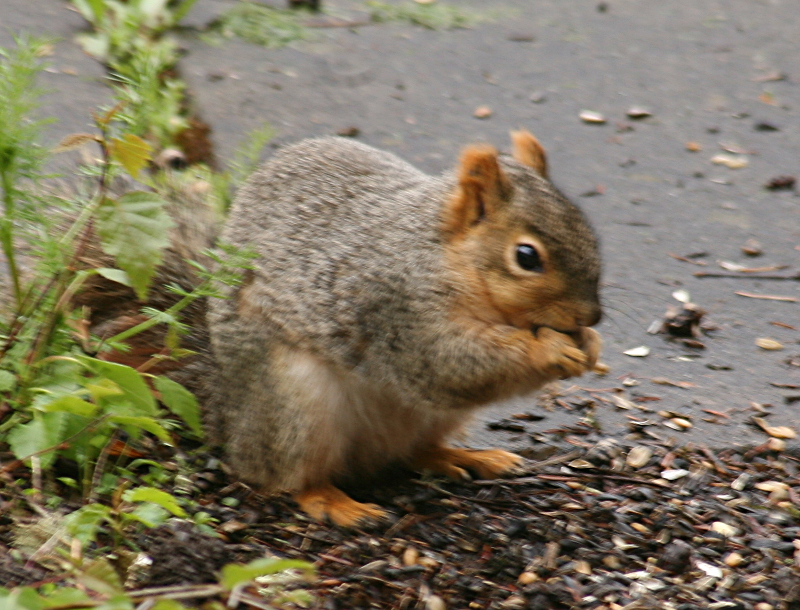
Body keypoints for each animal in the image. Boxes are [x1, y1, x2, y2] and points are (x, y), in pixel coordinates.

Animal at [78, 130, 602, 526]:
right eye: (526, 256)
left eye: (589, 231)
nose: (591, 317)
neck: (447, 258)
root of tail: (229, 416)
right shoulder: (396, 309)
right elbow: (448, 366)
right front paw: (549, 350)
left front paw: (591, 346)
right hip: (295, 404)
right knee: (286, 476)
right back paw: (335, 502)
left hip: (427, 419)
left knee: (410, 453)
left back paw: (462, 457)